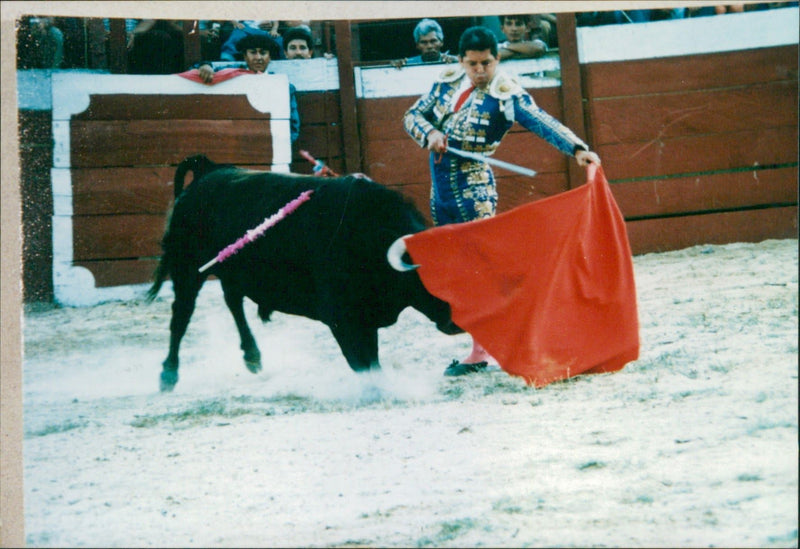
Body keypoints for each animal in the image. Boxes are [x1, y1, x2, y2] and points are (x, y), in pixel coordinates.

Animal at [147, 154, 460, 390]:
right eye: (430, 281)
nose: (457, 323)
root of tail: (208, 171)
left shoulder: (364, 318)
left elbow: (370, 359)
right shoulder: (342, 318)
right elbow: (363, 363)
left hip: (231, 271)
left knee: (233, 301)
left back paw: (253, 357)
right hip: (188, 269)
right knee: (182, 314)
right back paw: (168, 374)